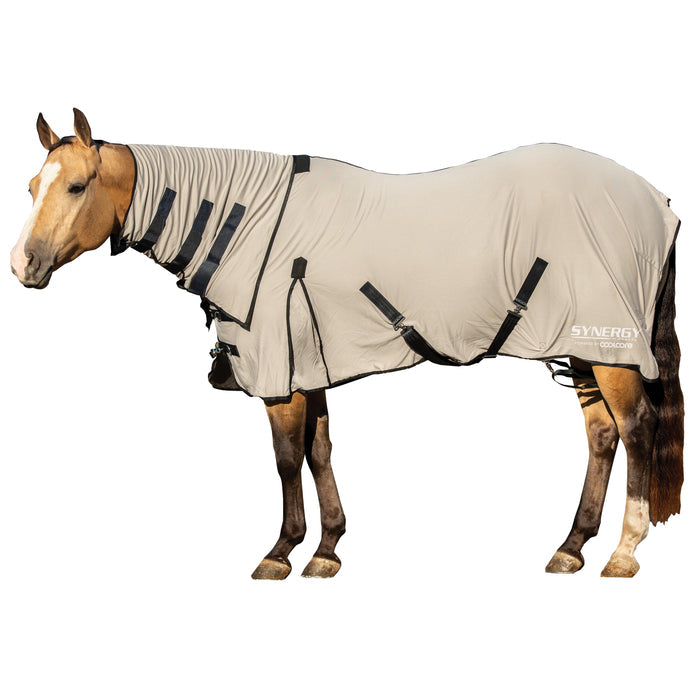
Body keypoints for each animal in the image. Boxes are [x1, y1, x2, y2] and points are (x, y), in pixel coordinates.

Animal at [10, 109, 684, 578]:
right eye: (31, 187)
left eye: (75, 187)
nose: (23, 264)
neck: (253, 223)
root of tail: (657, 200)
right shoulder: (308, 365)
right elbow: (319, 452)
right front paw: (327, 549)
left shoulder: (279, 375)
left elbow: (286, 459)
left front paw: (281, 552)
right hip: (584, 347)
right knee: (601, 435)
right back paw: (571, 547)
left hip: (610, 348)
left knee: (637, 429)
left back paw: (623, 552)